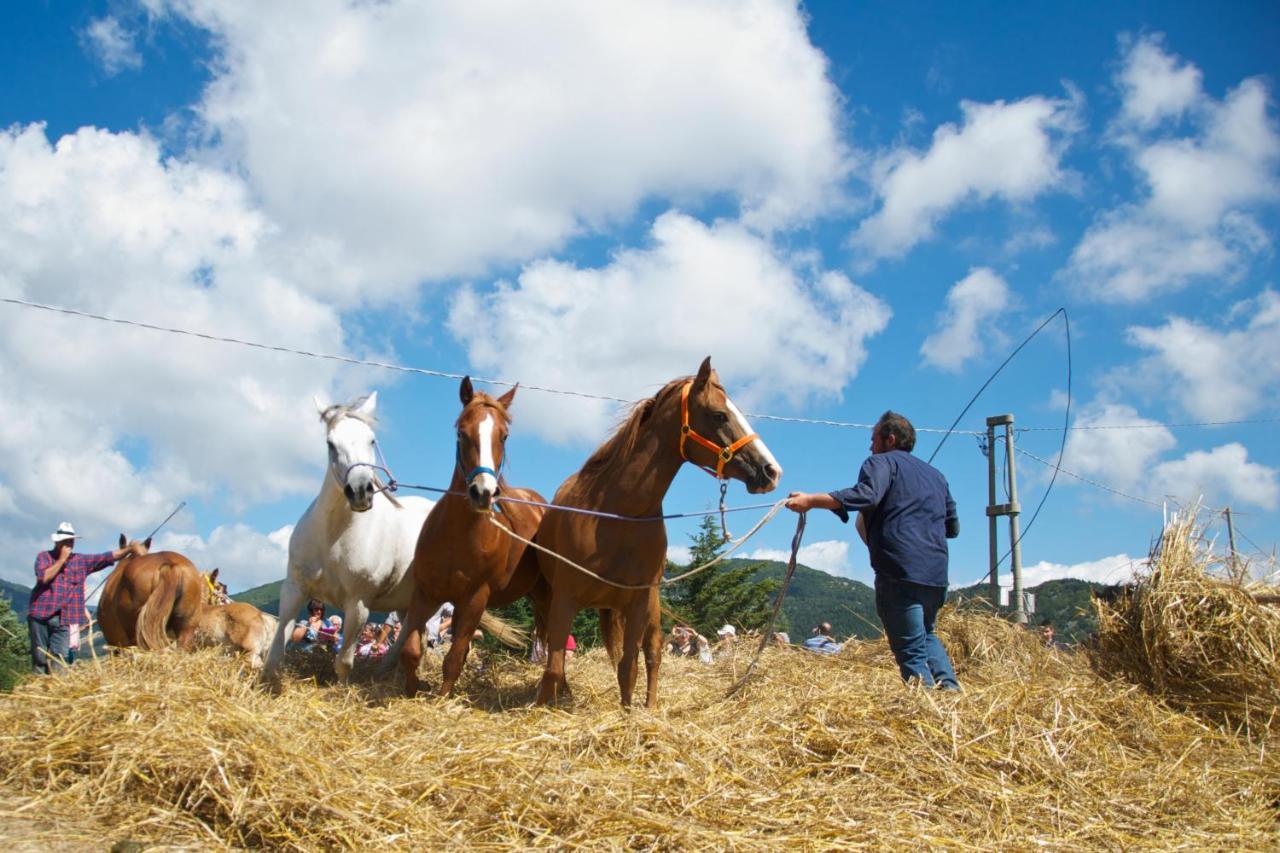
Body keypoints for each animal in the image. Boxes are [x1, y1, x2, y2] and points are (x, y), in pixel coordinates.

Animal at [263, 394, 435, 686]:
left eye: (372, 440)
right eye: (330, 444)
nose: (360, 490)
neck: (332, 536)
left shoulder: (358, 605)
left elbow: (343, 662)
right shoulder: (294, 588)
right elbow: (278, 645)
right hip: (407, 602)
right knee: (413, 635)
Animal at [399, 379, 550, 696]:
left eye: (504, 436)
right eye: (461, 432)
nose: (484, 492)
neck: (457, 536)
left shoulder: (475, 599)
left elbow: (454, 659)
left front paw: (443, 699)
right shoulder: (426, 593)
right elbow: (411, 651)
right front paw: (412, 690)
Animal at [532, 356, 778, 706]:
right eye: (719, 414)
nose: (771, 471)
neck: (614, 514)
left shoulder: (638, 602)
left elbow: (629, 668)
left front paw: (631, 712)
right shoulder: (563, 599)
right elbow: (553, 667)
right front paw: (545, 706)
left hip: (651, 607)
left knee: (653, 654)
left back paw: (649, 706)